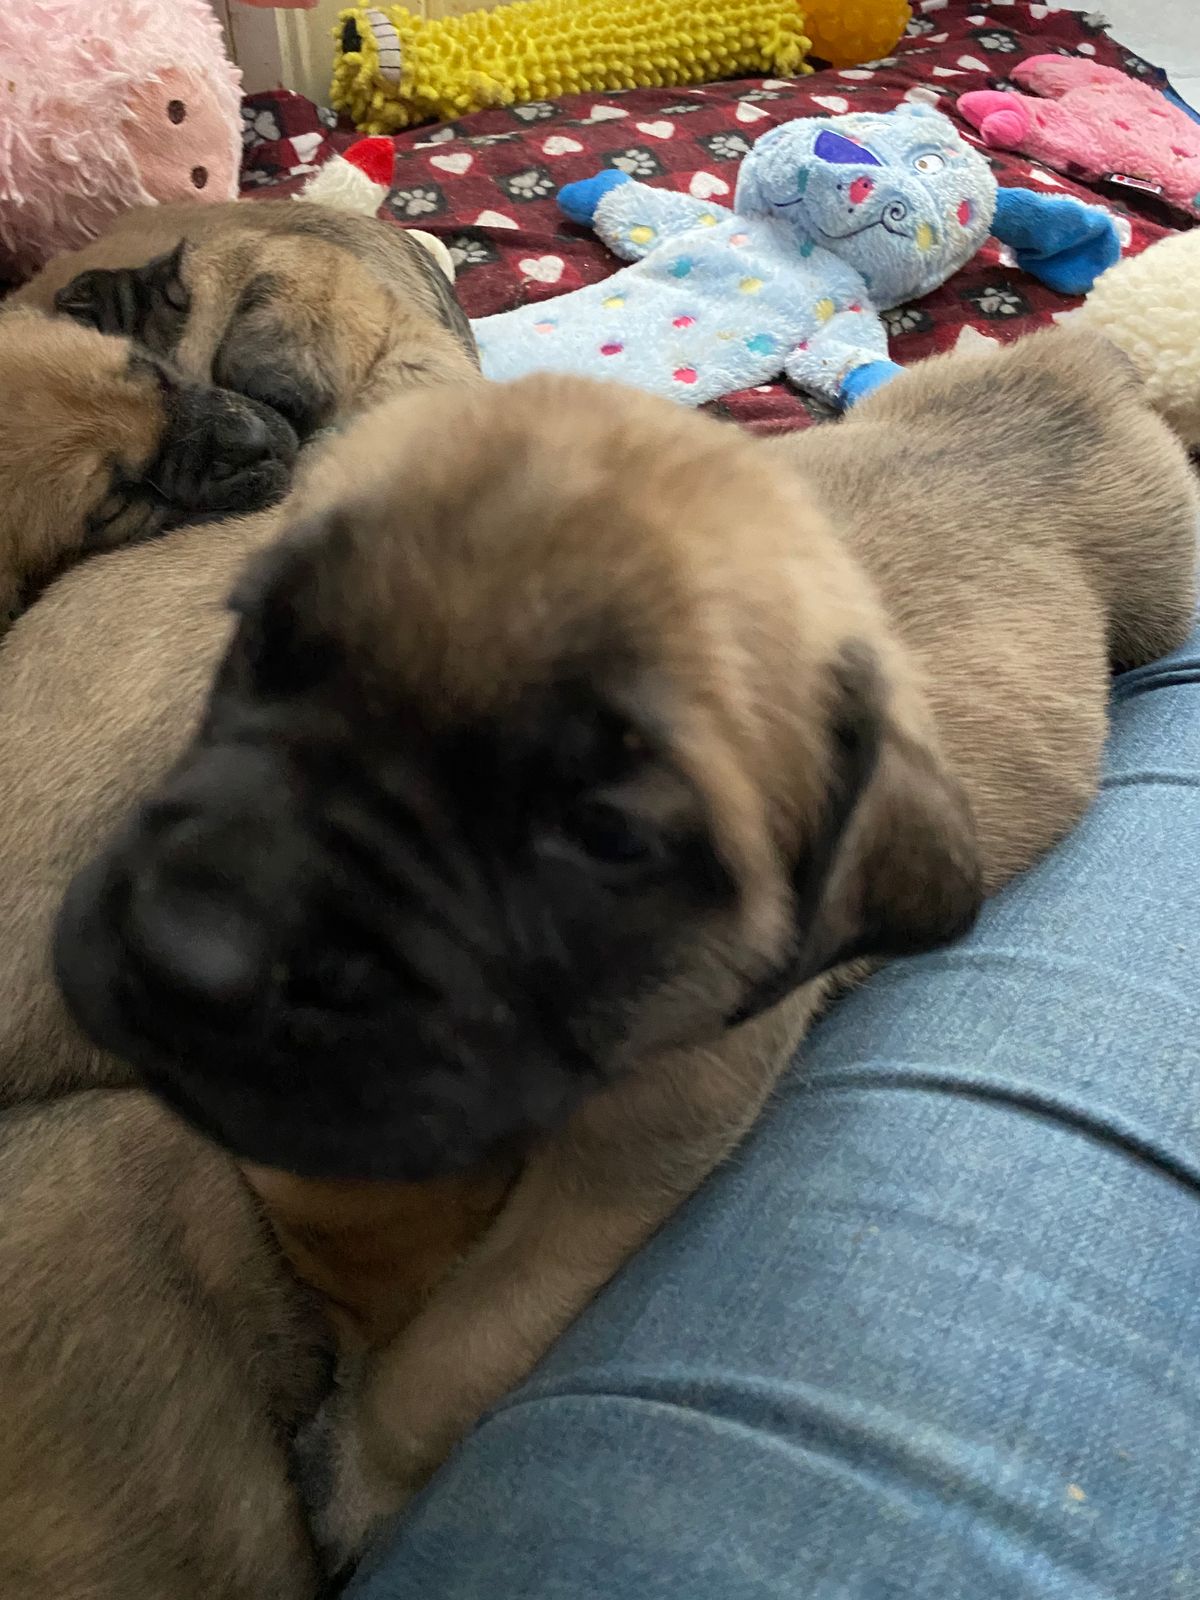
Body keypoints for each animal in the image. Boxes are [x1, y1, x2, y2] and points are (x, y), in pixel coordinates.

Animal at [49, 326, 1199, 1558]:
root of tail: (1081, 365)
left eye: (604, 835)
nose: (185, 951)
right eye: (261, 648)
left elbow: (469, 1340)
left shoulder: (623, 1166)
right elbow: (355, 1222)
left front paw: (362, 1464)